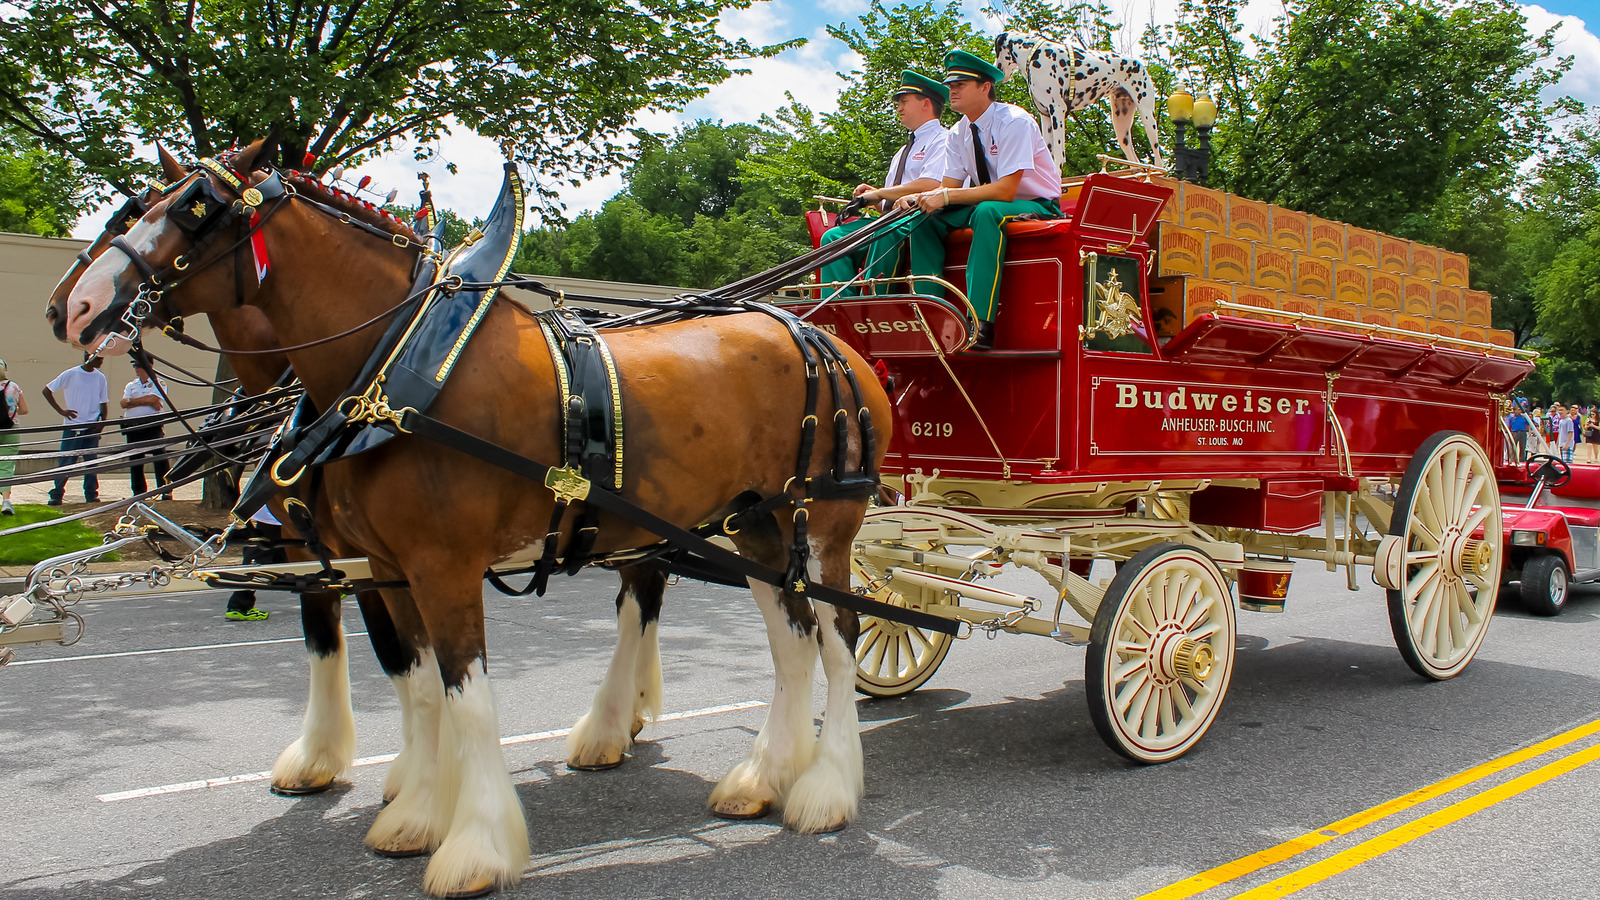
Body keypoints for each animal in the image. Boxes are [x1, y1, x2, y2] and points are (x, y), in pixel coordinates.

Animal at [59, 140, 889, 890]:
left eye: (195, 209)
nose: (72, 306)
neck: (398, 371)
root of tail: (822, 338)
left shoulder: (441, 564)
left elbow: (467, 694)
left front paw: (475, 843)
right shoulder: (385, 567)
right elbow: (420, 684)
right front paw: (416, 809)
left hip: (825, 527)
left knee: (842, 637)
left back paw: (825, 787)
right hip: (753, 527)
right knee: (789, 641)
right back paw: (758, 776)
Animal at [998, 31, 1164, 171]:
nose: (997, 69)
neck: (1033, 54)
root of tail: (1140, 64)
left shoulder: (1057, 111)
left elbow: (1059, 156)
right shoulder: (1046, 117)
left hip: (1148, 119)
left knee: (1159, 162)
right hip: (1121, 128)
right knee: (1136, 163)